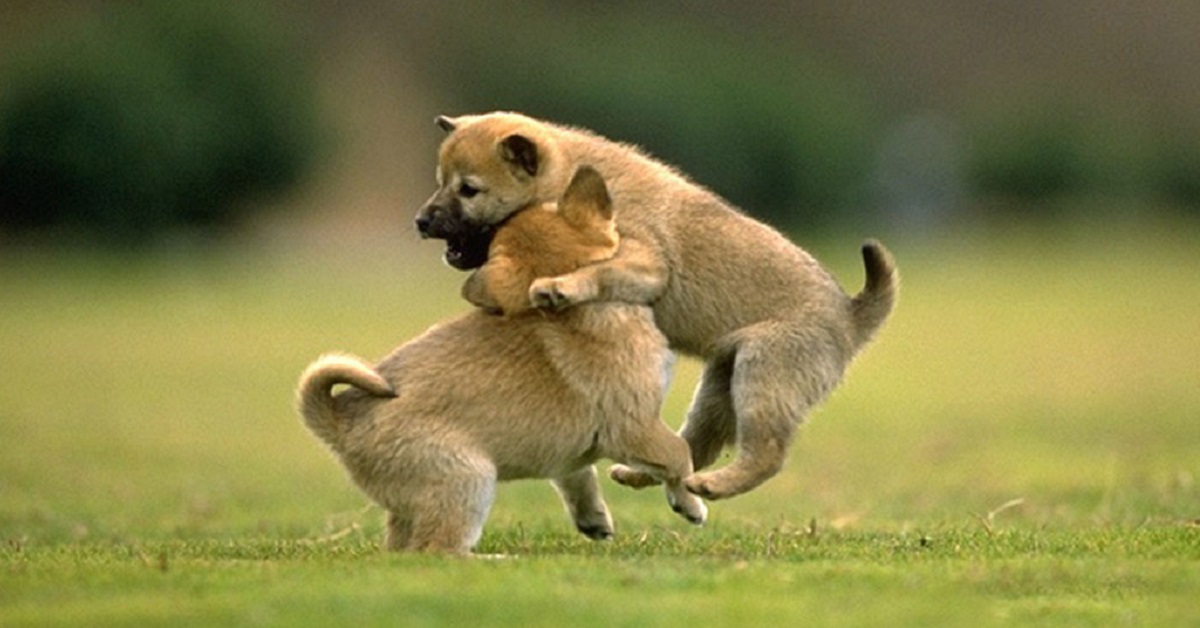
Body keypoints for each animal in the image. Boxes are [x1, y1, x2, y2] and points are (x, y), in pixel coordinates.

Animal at [295, 168, 700, 554]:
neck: (585, 305)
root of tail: (339, 417)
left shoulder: (568, 454)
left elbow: (578, 477)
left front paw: (593, 518)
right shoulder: (636, 427)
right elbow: (680, 455)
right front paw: (690, 503)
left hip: (415, 505)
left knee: (402, 549)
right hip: (469, 479)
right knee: (437, 549)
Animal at [417, 111, 897, 501]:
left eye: (469, 190)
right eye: (440, 181)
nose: (421, 221)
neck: (566, 177)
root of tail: (849, 315)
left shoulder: (646, 263)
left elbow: (599, 271)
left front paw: (560, 286)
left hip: (763, 377)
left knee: (767, 454)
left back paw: (716, 485)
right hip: (720, 386)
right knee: (695, 445)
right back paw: (644, 476)